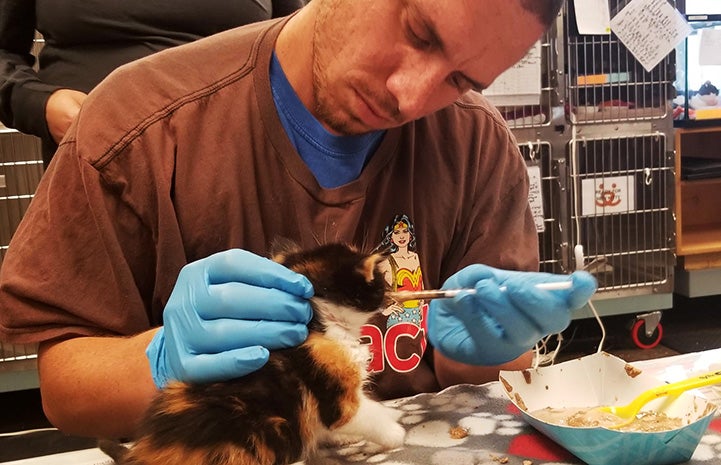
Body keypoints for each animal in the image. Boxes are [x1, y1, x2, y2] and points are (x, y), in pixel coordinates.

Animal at [100, 243, 404, 464]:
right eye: (379, 282)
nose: (390, 290)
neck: (321, 322)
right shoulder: (333, 390)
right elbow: (361, 415)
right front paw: (394, 431)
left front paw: (345, 435)